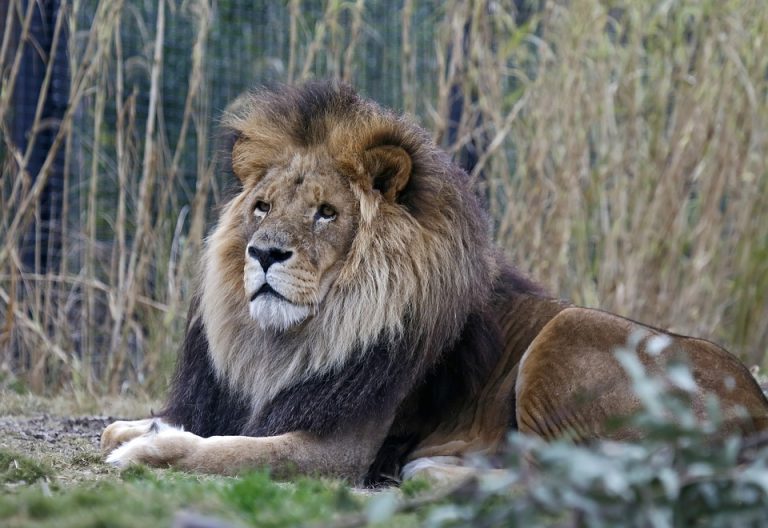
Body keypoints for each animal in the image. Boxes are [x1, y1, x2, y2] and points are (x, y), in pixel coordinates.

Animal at [100, 81, 768, 482]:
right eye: (262, 207)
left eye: (326, 213)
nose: (264, 253)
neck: (290, 341)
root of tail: (757, 412)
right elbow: (160, 425)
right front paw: (138, 425)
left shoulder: (335, 453)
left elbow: (223, 449)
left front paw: (148, 446)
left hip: (568, 330)